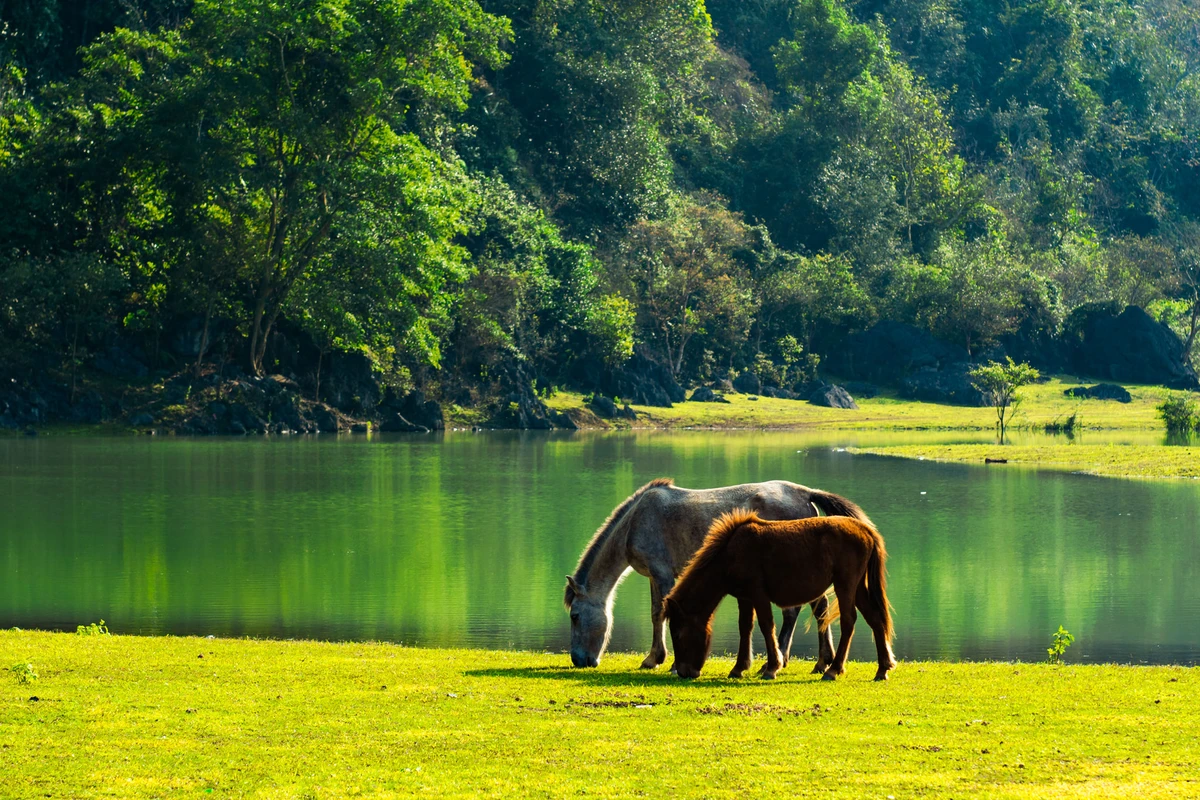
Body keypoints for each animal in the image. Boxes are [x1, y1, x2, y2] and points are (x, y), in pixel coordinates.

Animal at [564, 478, 869, 671]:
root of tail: (804, 492)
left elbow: (659, 613)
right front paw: (656, 659)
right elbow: (656, 614)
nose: (578, 659)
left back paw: (783, 660)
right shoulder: (653, 576)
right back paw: (820, 662)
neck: (635, 521)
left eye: (575, 616)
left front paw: (660, 660)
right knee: (818, 608)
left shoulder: (661, 574)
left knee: (796, 612)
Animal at [664, 507, 895, 682]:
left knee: (849, 621)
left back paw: (833, 670)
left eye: (678, 633)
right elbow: (745, 627)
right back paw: (882, 669)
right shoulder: (744, 597)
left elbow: (767, 626)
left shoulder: (758, 594)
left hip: (845, 585)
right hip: (858, 587)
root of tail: (866, 531)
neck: (730, 554)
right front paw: (739, 668)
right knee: (875, 619)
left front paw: (771, 668)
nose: (684, 672)